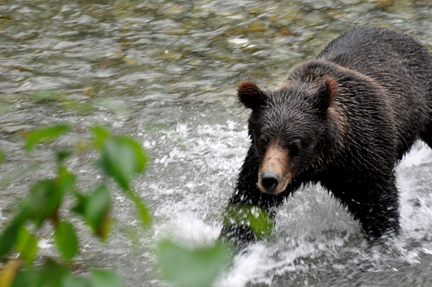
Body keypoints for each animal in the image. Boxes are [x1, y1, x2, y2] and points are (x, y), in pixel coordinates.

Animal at [221, 25, 432, 244]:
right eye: (263, 139)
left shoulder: (363, 157)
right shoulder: (259, 162)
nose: (270, 179)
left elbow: (379, 206)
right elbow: (249, 206)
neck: (322, 162)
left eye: (295, 144)